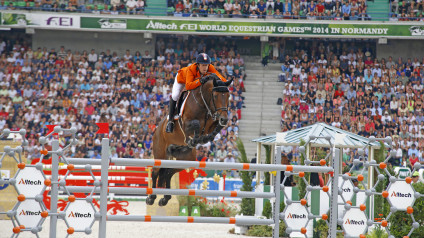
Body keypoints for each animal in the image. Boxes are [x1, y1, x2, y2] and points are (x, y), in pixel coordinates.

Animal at [148, 75, 235, 206]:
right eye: (215, 96)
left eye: (228, 95)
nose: (224, 118)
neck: (204, 104)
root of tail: (157, 129)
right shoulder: (187, 123)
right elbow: (196, 124)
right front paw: (193, 140)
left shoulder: (213, 120)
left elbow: (217, 127)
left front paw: (205, 138)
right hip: (160, 153)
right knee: (155, 172)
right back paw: (151, 198)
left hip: (186, 158)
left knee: (168, 172)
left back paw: (165, 198)